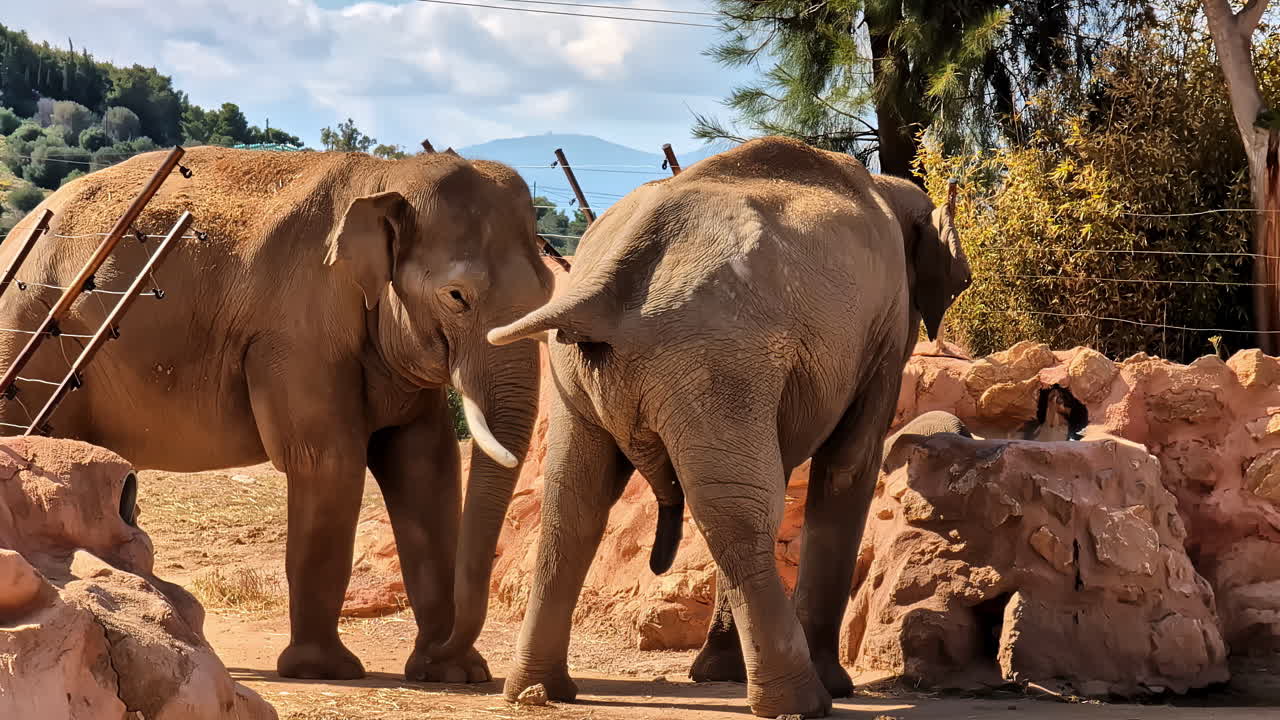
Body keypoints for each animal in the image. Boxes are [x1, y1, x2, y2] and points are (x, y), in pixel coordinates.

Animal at [0, 147, 554, 684]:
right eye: (457, 296)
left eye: (548, 291)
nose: (450, 652)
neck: (384, 177)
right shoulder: (296, 335)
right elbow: (328, 462)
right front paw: (325, 671)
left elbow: (425, 467)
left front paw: (451, 673)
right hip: (28, 337)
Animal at [487, 136, 970, 718]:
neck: (887, 188)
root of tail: (608, 279)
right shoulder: (885, 328)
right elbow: (848, 464)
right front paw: (835, 685)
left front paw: (719, 675)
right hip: (716, 359)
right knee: (738, 508)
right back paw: (805, 701)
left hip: (586, 373)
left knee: (576, 503)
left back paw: (538, 690)